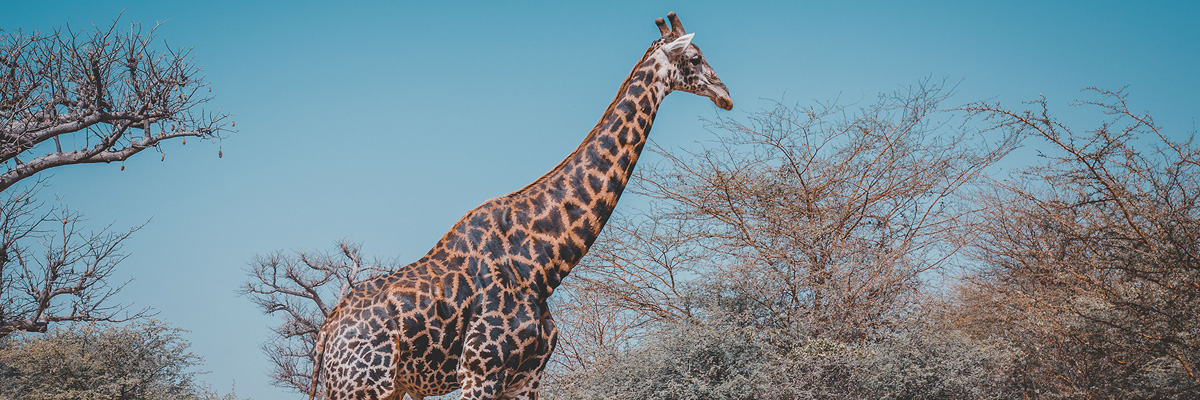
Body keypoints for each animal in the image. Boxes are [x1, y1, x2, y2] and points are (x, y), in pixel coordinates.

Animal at [309, 12, 729, 398]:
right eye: (694, 57)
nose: (725, 94)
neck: (542, 264)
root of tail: (326, 333)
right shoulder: (480, 371)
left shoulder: (527, 377)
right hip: (364, 385)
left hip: (382, 386)